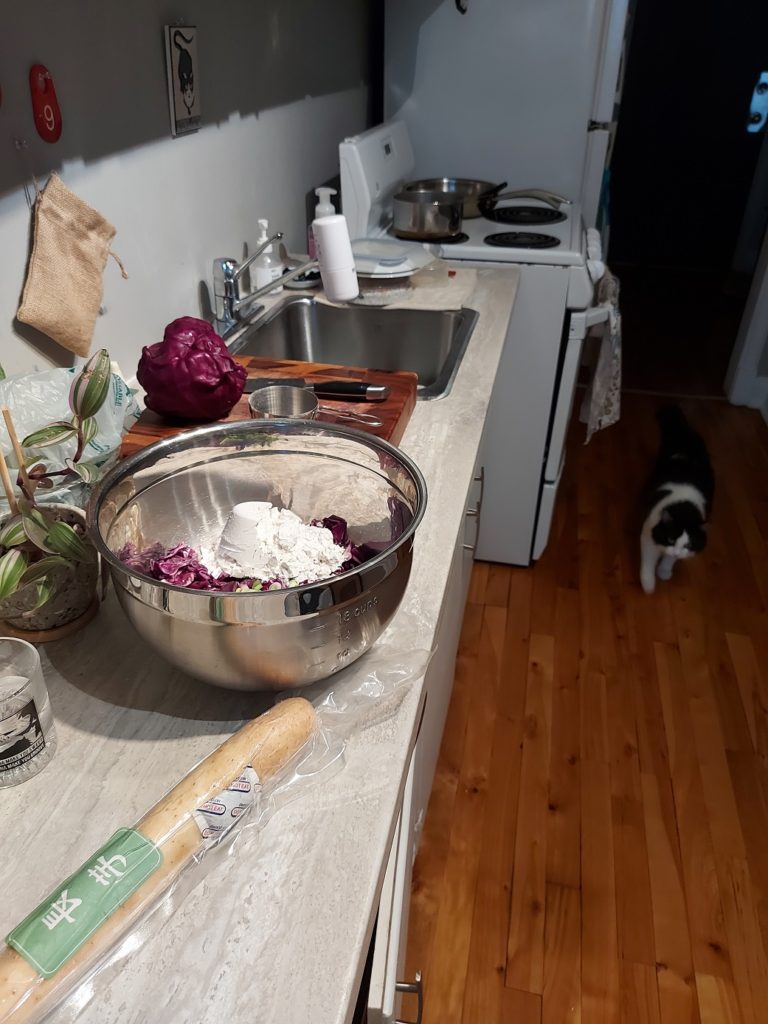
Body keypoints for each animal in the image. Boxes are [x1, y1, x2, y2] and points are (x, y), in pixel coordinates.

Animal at [638, 407, 716, 598]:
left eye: (688, 545)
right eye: (670, 539)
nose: (675, 551)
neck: (685, 508)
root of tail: (684, 431)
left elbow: (669, 559)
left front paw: (664, 571)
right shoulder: (648, 535)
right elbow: (647, 564)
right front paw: (649, 586)